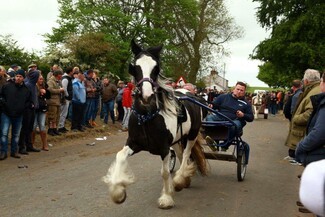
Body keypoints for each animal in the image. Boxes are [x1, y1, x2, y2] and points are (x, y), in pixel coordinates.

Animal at [102, 40, 206, 209]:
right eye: (135, 66)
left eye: (156, 68)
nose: (146, 96)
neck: (146, 117)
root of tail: (191, 94)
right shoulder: (134, 143)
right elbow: (120, 156)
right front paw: (118, 192)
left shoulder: (164, 148)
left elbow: (164, 172)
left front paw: (166, 198)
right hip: (177, 139)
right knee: (180, 153)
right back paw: (184, 179)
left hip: (192, 134)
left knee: (186, 154)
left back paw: (179, 179)